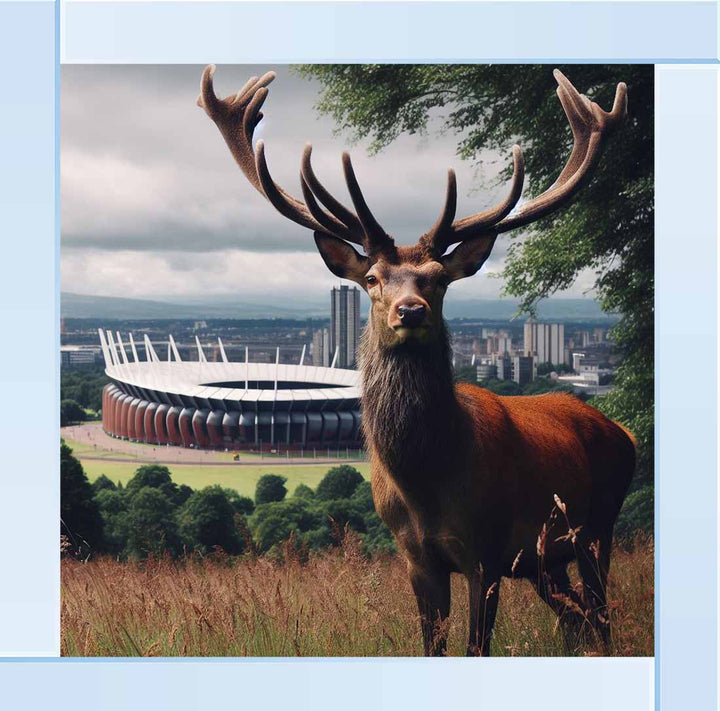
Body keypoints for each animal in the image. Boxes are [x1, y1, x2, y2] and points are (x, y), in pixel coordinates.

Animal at [198, 66, 635, 656]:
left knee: (601, 616)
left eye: (439, 279)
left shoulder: (486, 552)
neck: (429, 481)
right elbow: (433, 647)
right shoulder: (416, 557)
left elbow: (476, 648)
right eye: (372, 278)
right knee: (576, 619)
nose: (410, 310)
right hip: (547, 561)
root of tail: (623, 432)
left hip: (596, 529)